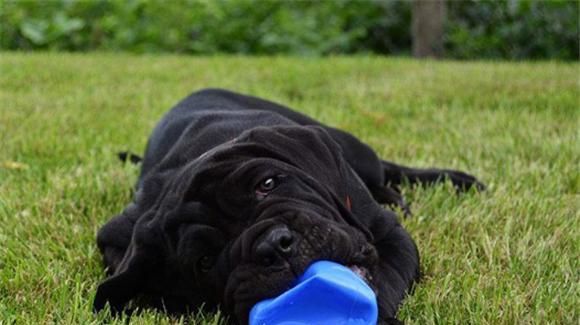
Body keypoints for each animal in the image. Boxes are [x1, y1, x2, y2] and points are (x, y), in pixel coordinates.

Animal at [94, 87, 484, 322]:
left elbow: (386, 280)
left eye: (267, 184)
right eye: (203, 261)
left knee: (388, 170)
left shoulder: (391, 235)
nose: (273, 246)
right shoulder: (121, 232)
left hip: (353, 147)